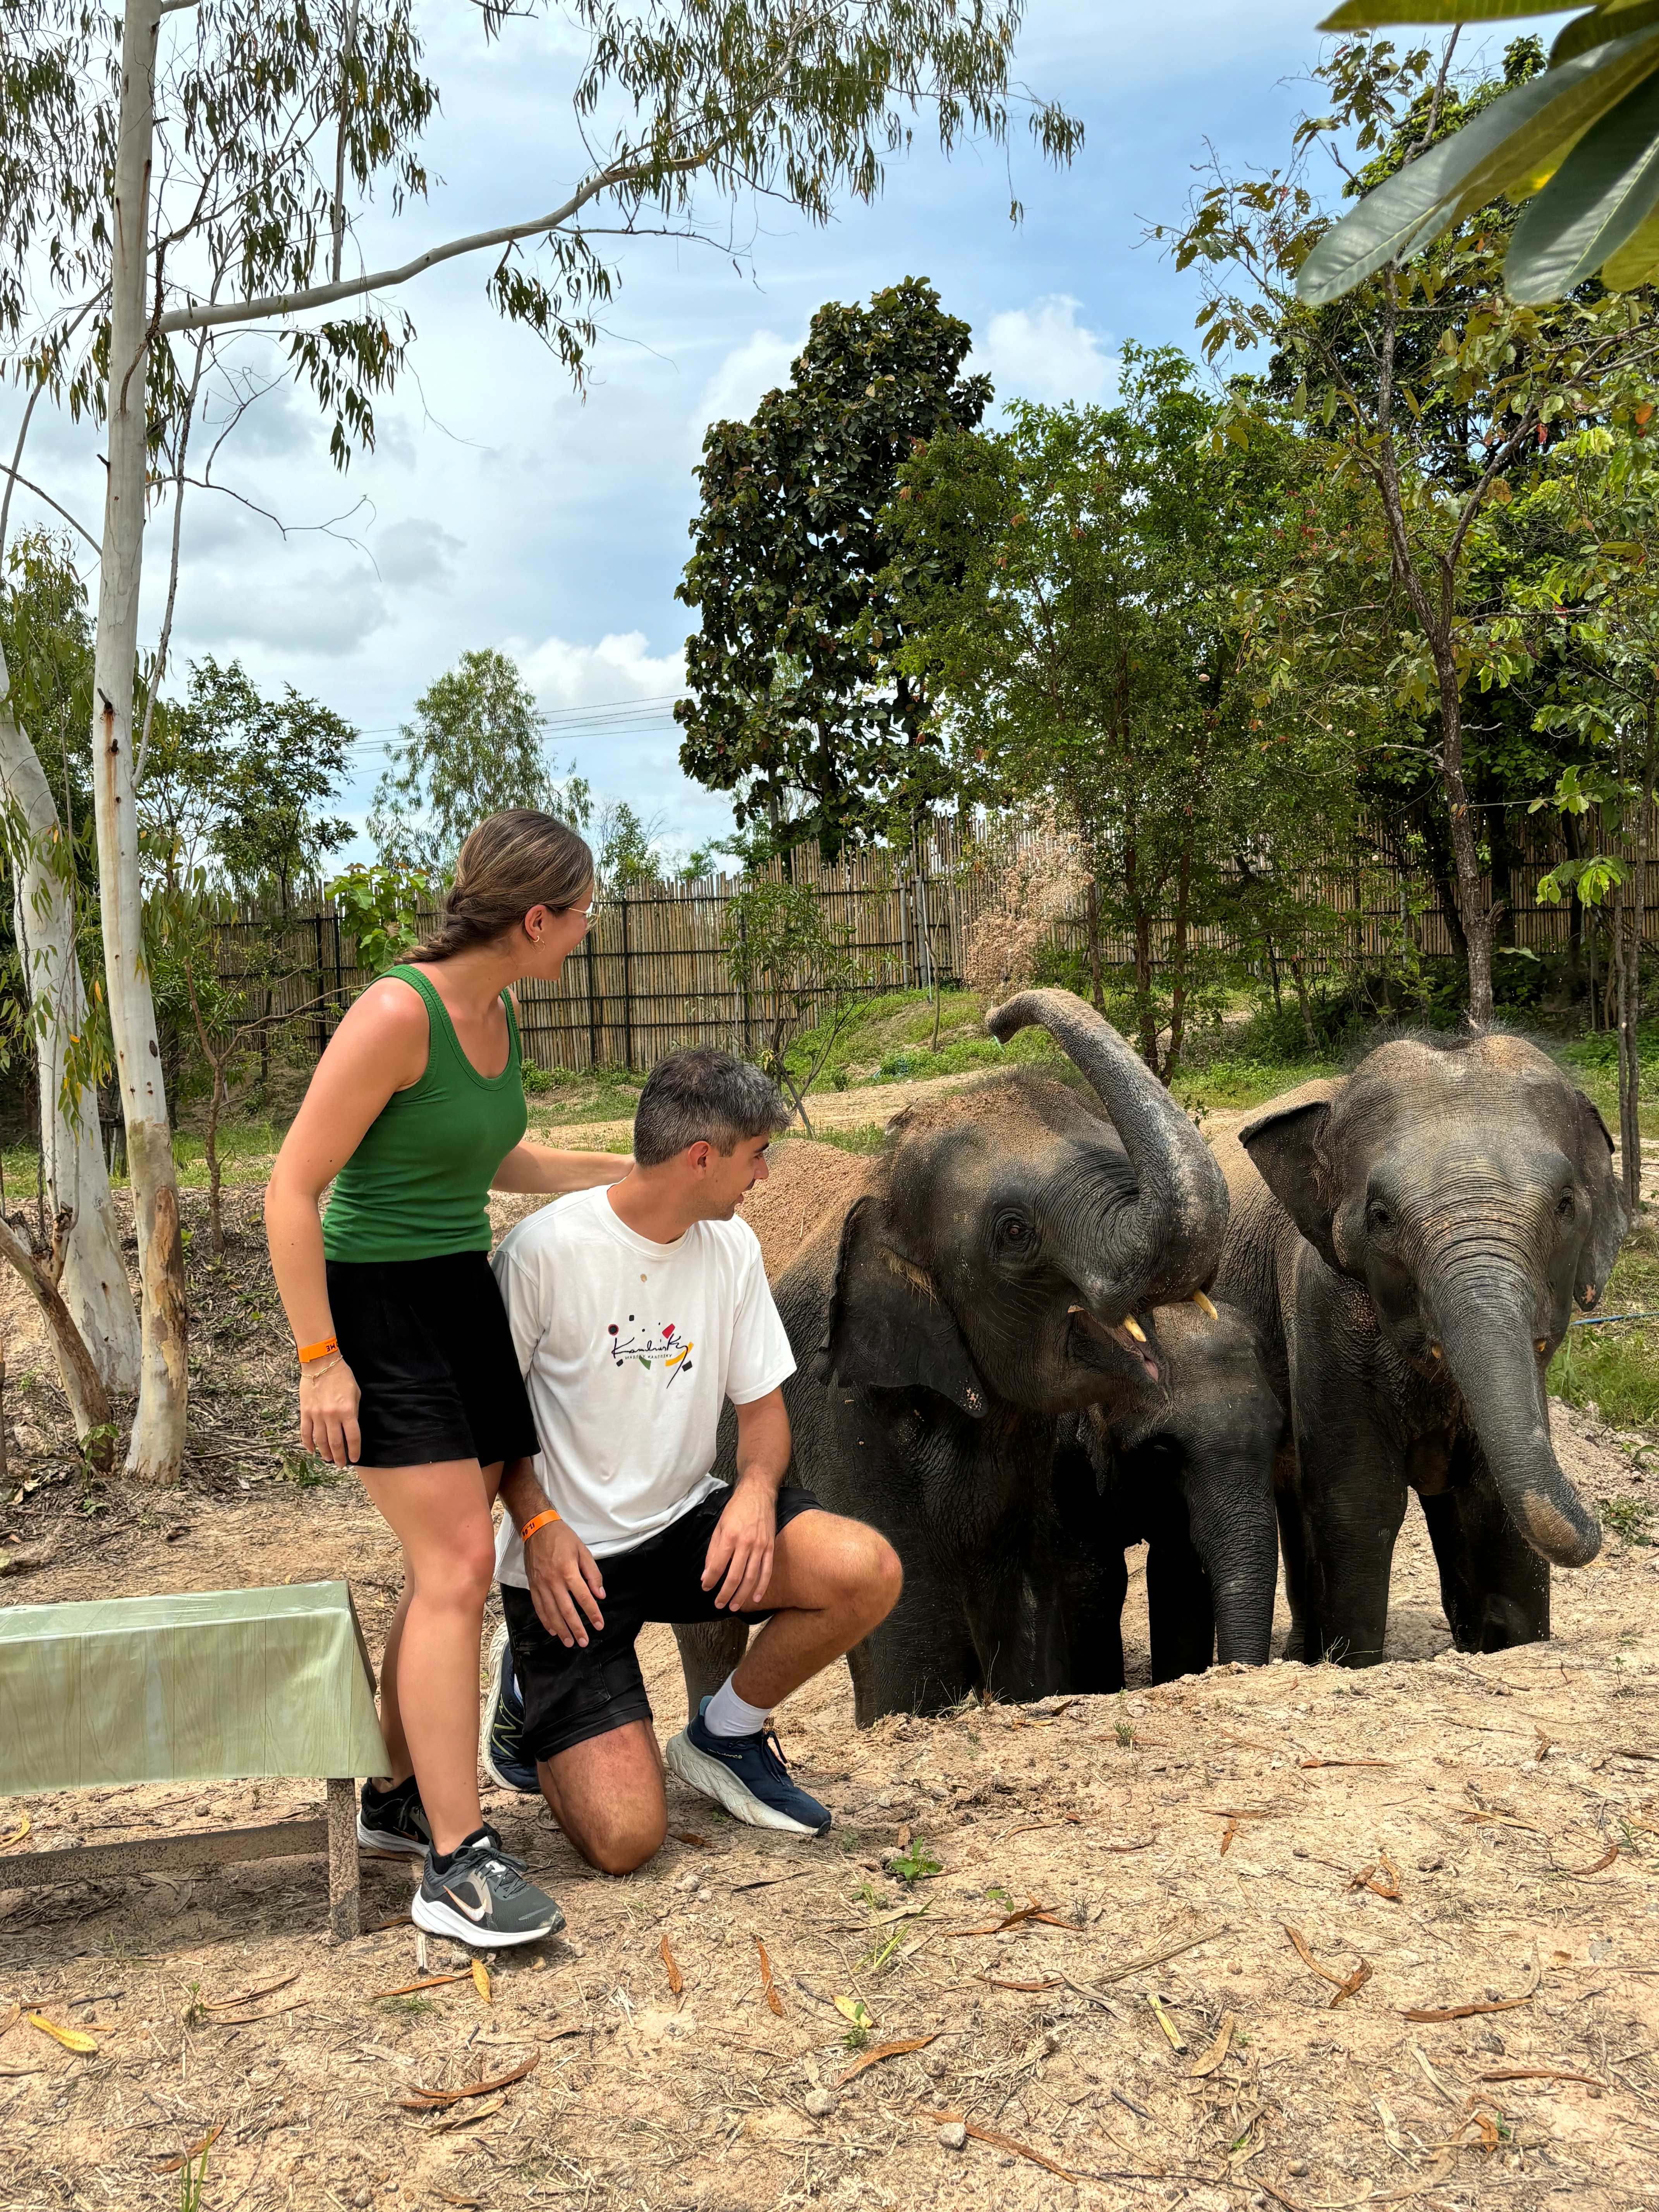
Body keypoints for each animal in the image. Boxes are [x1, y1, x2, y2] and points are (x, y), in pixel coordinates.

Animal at [676, 987, 1280, 1724]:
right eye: (1014, 1232)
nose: (998, 1018)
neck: (884, 1181)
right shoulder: (835, 1407)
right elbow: (907, 1619)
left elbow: (1030, 1601)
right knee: (709, 1629)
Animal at [1210, 1030, 1628, 1667]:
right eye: (1381, 1216)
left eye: (1564, 1205)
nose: (1598, 1520)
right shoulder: (1320, 1305)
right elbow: (1359, 1501)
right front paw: (1351, 1663)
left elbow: (1492, 1504)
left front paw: (1507, 1643)